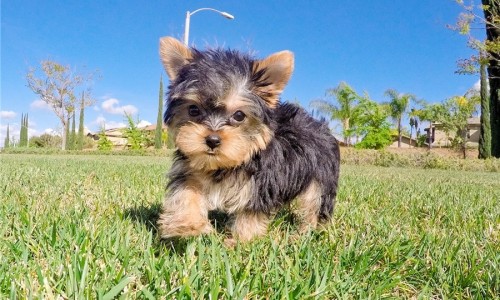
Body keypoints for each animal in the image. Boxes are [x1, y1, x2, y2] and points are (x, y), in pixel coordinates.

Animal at [158, 37, 342, 244]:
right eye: (193, 110)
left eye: (239, 115)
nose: (212, 140)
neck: (224, 166)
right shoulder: (190, 171)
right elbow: (186, 190)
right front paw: (187, 224)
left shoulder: (260, 184)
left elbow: (250, 213)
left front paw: (240, 242)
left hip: (322, 176)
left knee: (315, 203)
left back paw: (305, 233)